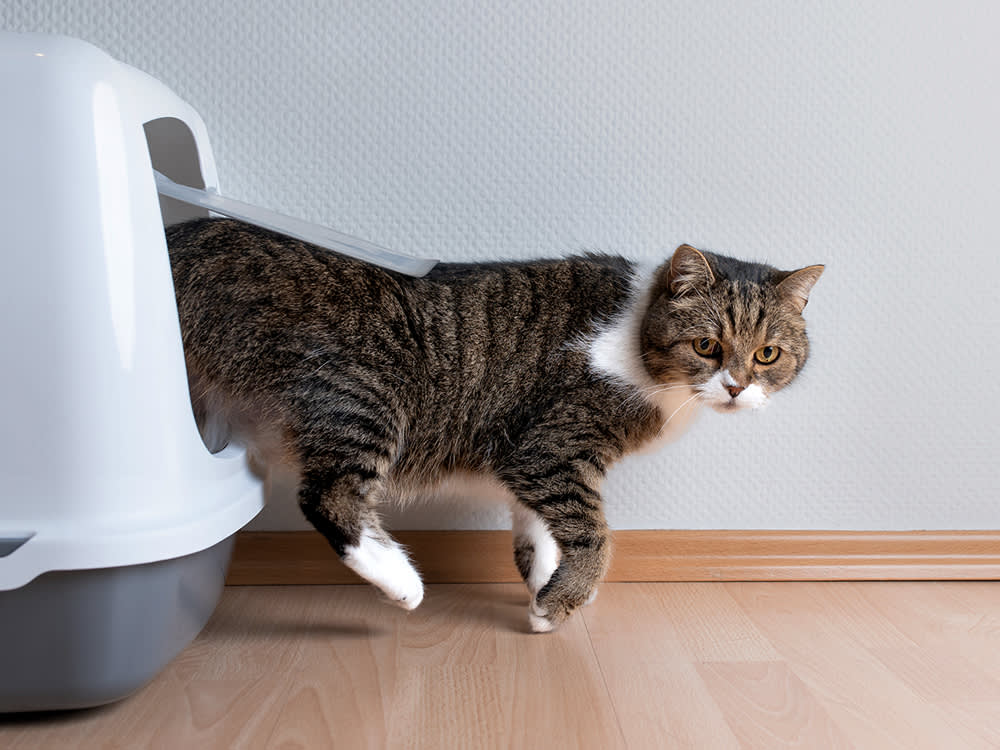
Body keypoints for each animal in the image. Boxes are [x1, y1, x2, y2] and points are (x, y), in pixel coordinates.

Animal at [166, 219, 820, 636]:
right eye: (707, 346)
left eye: (767, 354)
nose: (736, 387)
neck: (637, 342)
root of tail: (188, 236)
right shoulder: (552, 448)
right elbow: (594, 535)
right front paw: (562, 603)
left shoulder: (527, 461)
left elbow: (542, 530)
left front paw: (544, 586)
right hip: (361, 391)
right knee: (328, 495)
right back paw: (402, 583)